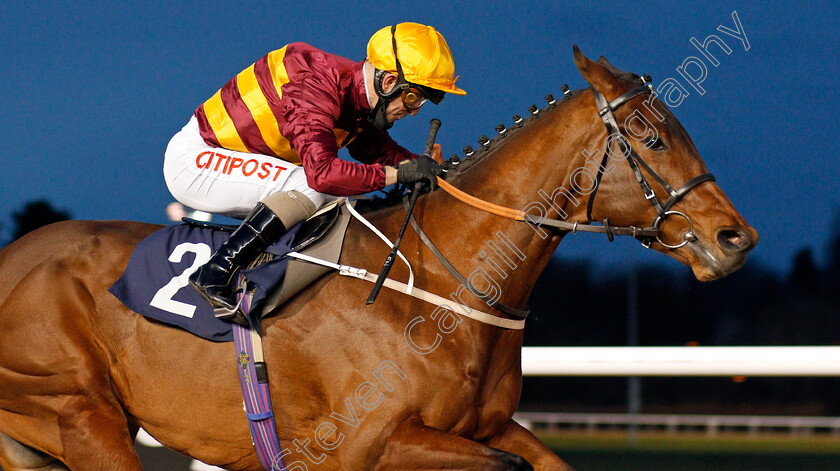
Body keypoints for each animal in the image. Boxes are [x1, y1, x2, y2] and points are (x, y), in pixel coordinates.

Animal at [0, 45, 756, 471]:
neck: (445, 285)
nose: (735, 238)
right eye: (651, 137)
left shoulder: (487, 425)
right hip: (78, 409)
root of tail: (14, 256)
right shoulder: (367, 441)